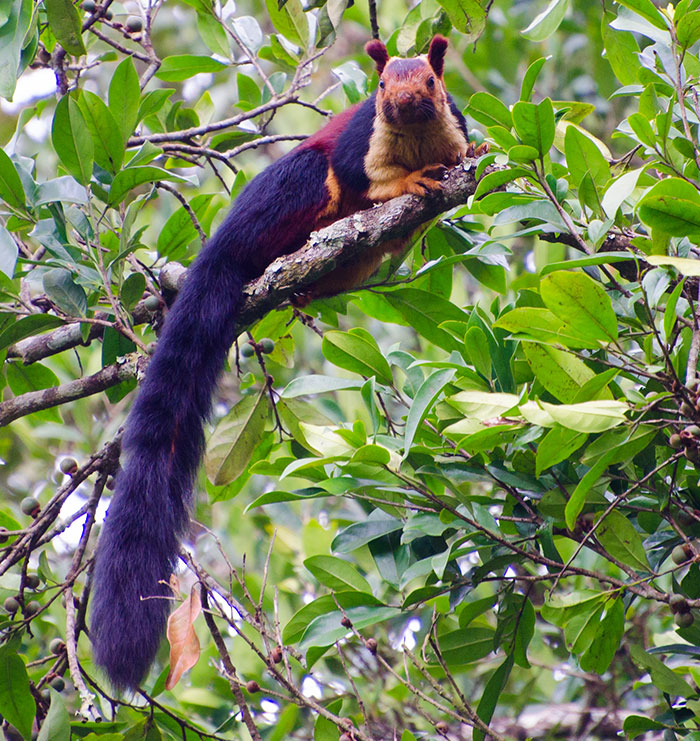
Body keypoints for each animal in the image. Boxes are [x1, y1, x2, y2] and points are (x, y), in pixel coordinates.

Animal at [91, 34, 473, 690]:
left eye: (428, 82)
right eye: (380, 86)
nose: (399, 105)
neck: (418, 139)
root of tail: (219, 246)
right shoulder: (358, 145)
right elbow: (368, 181)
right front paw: (408, 183)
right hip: (296, 188)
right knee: (312, 193)